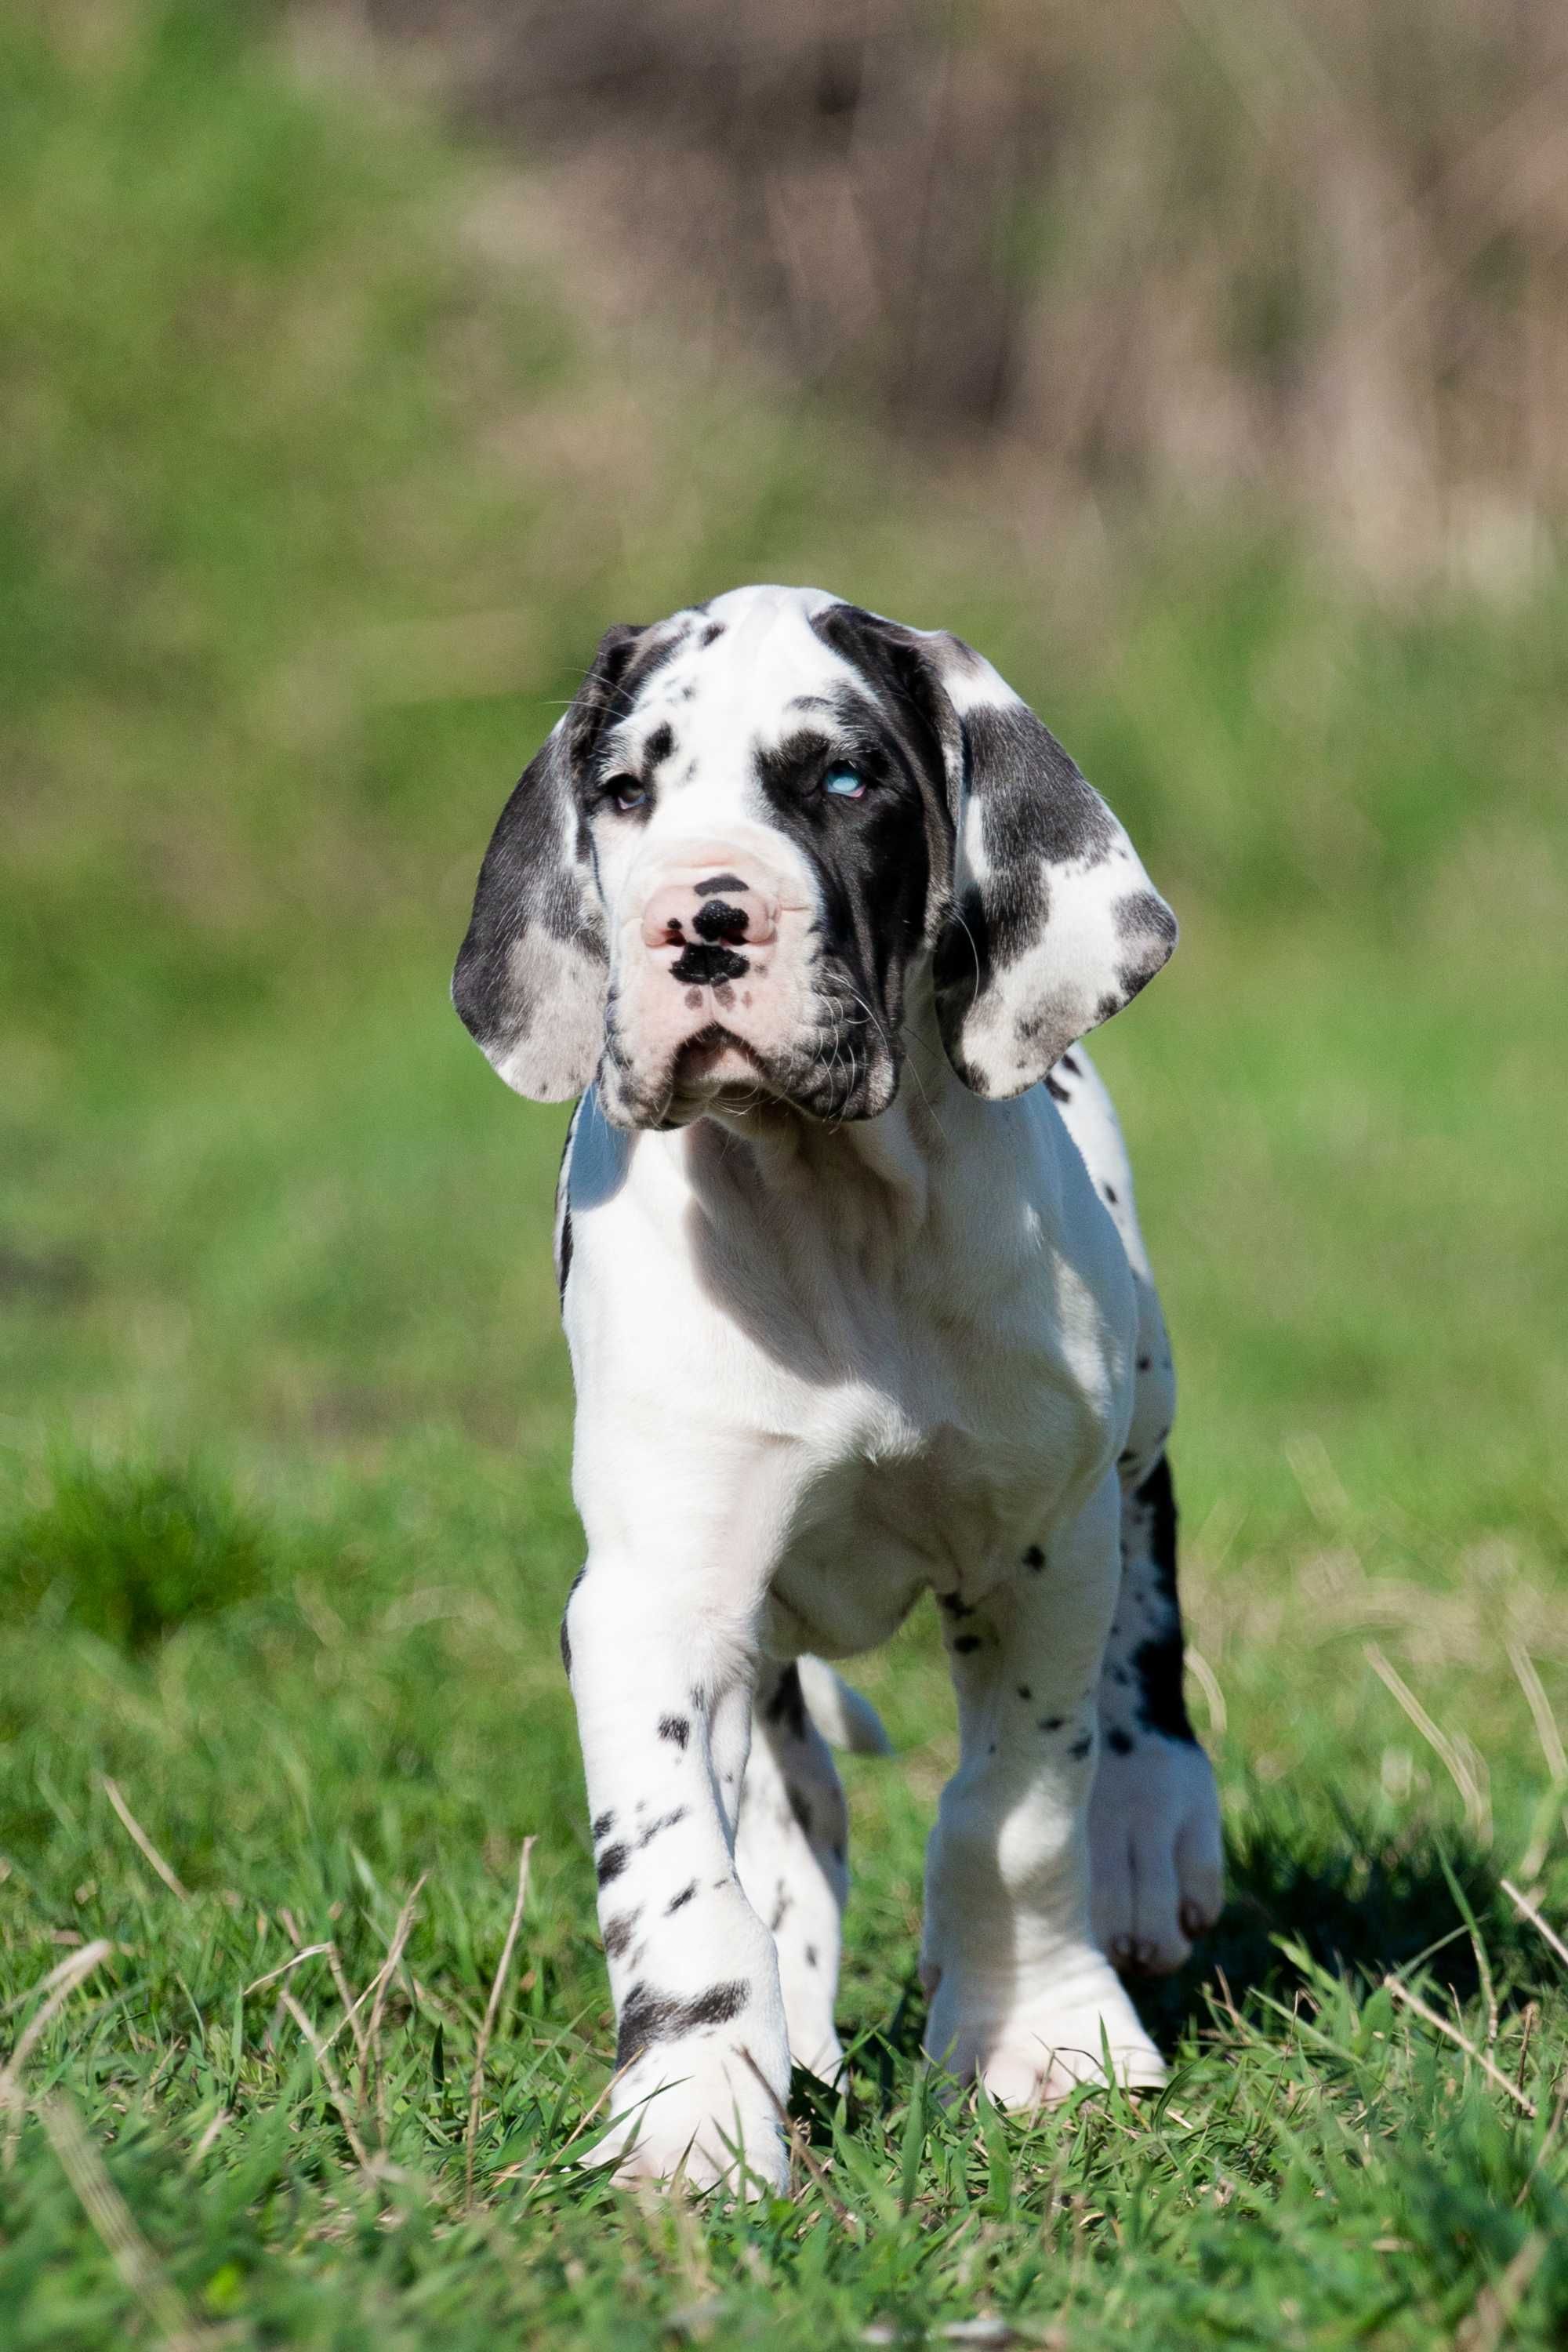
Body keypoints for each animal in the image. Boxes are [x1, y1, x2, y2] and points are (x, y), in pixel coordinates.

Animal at [453, 579, 1222, 2192]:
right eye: (626, 792)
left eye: (846, 780)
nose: (698, 920)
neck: (835, 1216)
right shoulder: (651, 1600)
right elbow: (680, 1871)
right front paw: (694, 2110)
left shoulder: (1037, 1556)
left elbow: (1012, 1813)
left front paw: (1042, 2038)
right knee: (788, 1812)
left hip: (1136, 1406)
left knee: (1147, 1579)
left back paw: (1150, 1825)